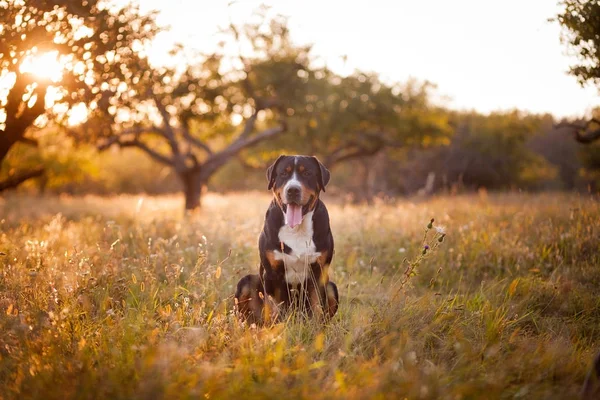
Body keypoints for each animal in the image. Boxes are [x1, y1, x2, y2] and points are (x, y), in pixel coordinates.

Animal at [233, 155, 338, 324]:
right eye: (283, 173)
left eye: (307, 173)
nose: (293, 189)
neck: (296, 229)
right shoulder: (271, 273)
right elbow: (274, 307)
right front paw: (277, 327)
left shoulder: (319, 272)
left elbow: (316, 306)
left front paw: (316, 328)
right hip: (246, 282)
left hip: (332, 287)